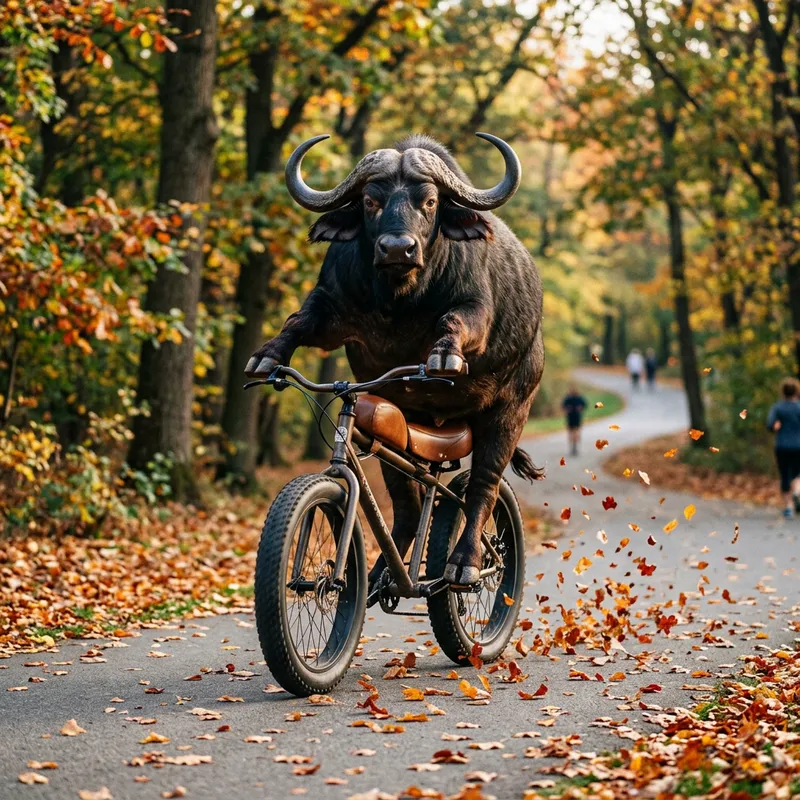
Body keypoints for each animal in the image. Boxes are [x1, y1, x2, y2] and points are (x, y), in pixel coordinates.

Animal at [245, 132, 544, 585]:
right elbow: (299, 320)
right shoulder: (331, 303)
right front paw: (267, 357)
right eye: (371, 200)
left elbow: (456, 320)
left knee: (483, 488)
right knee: (409, 499)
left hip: (511, 410)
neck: (401, 300)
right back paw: (384, 573)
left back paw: (466, 561)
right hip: (396, 422)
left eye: (430, 201)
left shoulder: (475, 308)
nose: (397, 249)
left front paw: (443, 355)